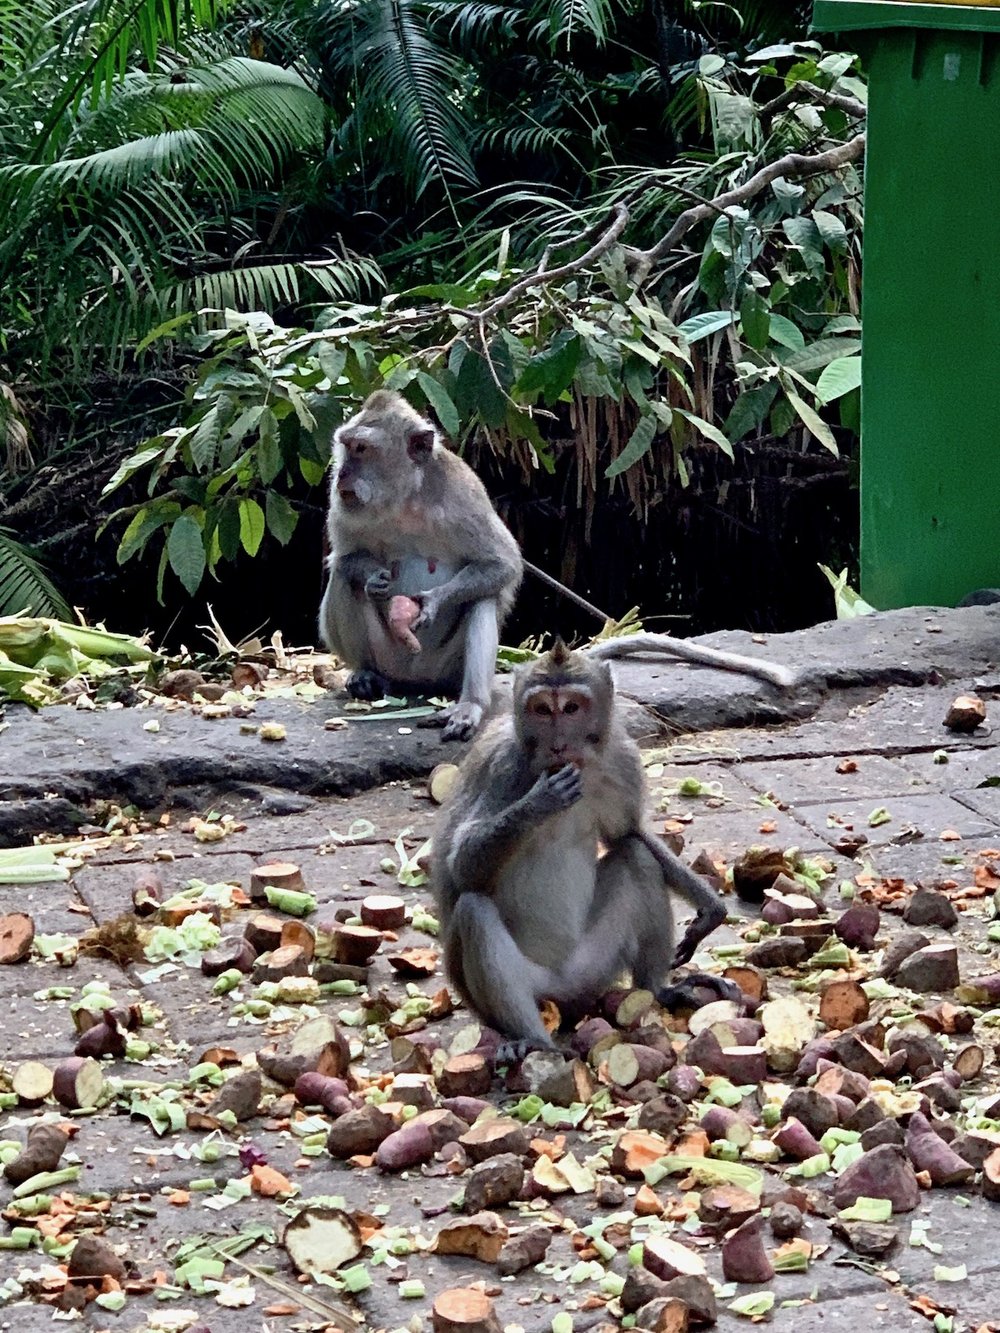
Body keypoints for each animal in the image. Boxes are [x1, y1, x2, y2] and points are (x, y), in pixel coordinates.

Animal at [318, 390, 523, 742]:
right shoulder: (342, 505)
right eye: (346, 445)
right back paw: (365, 675)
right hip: (389, 657)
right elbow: (344, 559)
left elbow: (503, 564)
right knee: (344, 579)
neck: (405, 499)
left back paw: (469, 704)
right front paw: (374, 579)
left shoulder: (465, 494)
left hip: (443, 667)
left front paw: (432, 601)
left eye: (361, 449)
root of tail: (415, 681)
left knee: (484, 596)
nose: (341, 473)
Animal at [431, 638, 737, 1055]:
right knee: (473, 911)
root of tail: (565, 992)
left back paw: (658, 991)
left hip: (595, 965)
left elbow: (627, 835)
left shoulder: (621, 760)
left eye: (572, 708)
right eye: (542, 710)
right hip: (533, 989)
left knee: (637, 859)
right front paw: (540, 801)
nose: (559, 744)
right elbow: (461, 866)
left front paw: (710, 910)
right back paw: (532, 1040)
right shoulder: (501, 767)